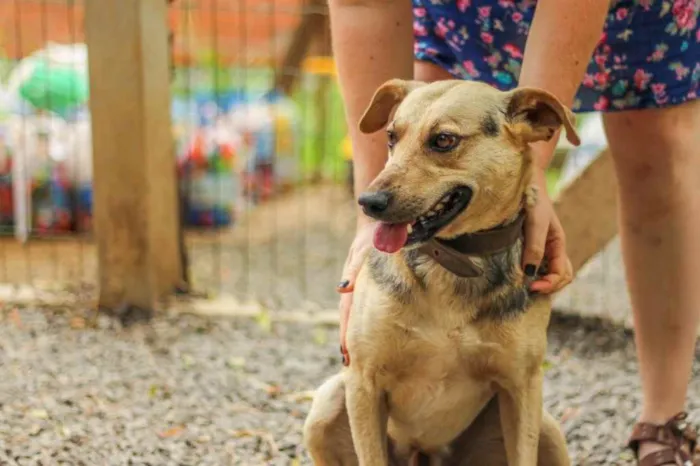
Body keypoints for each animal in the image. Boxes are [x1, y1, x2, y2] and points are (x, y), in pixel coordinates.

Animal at [304, 80, 584, 466]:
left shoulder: (522, 386)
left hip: (547, 429)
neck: (452, 262)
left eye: (443, 140)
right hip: (327, 404)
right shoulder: (363, 381)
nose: (368, 202)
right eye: (391, 136)